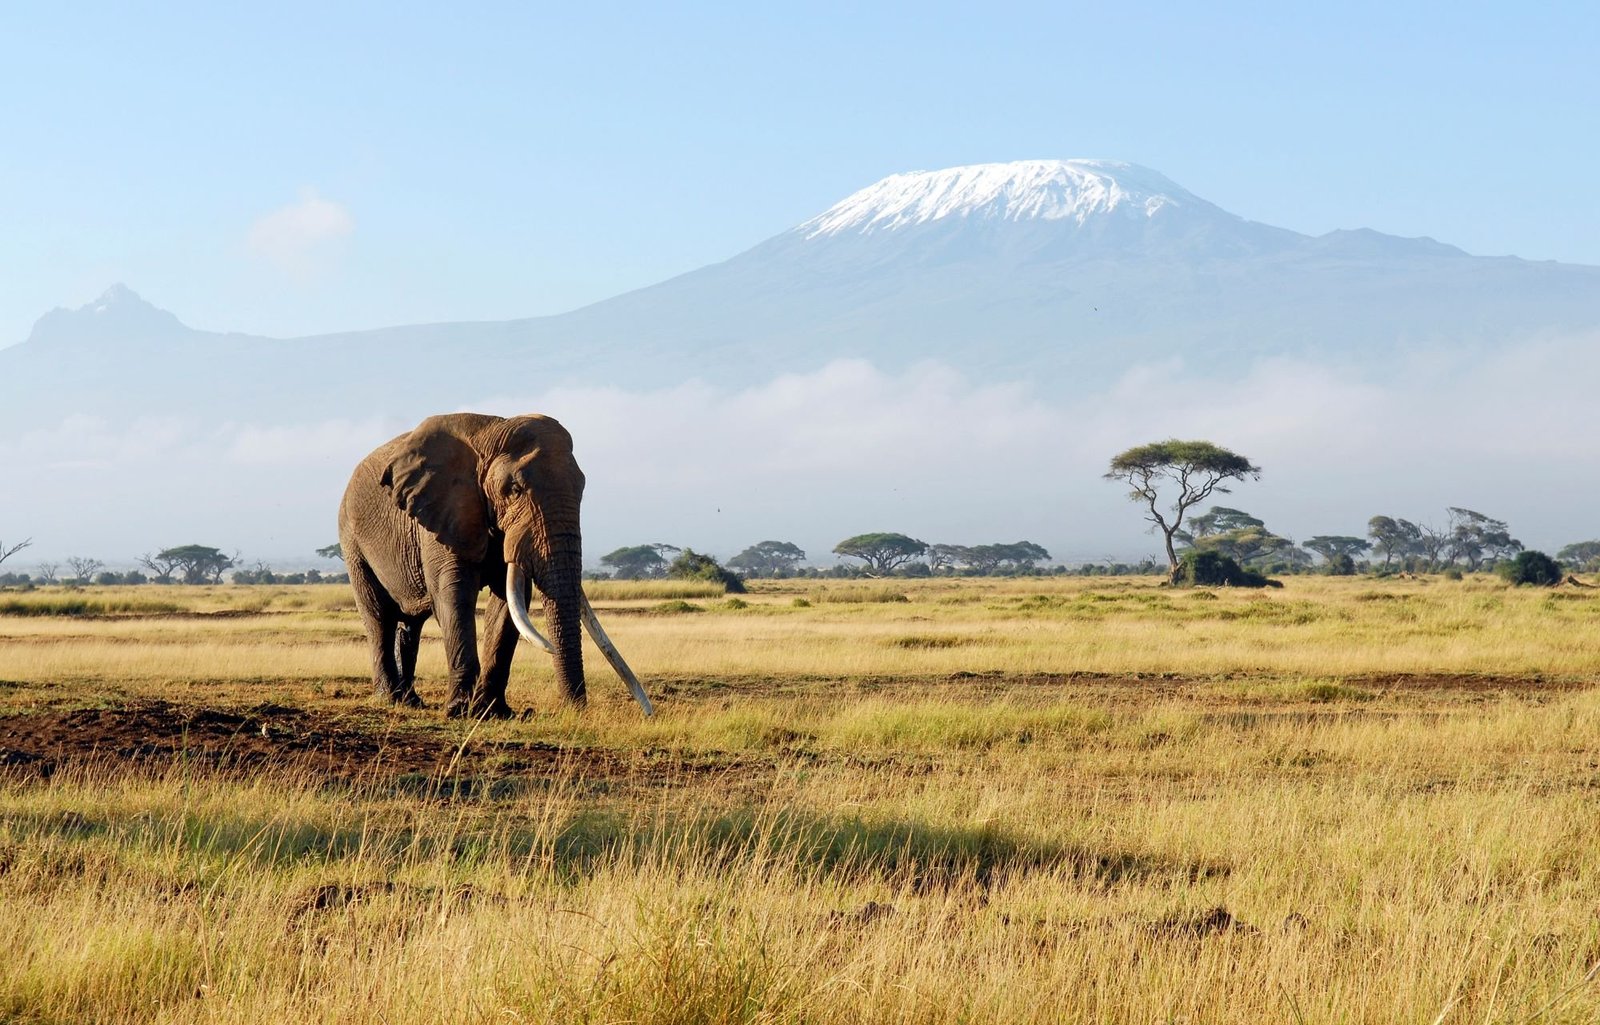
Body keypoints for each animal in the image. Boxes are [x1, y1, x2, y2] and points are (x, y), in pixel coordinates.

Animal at [338, 412, 653, 718]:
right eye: (514, 489)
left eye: (582, 488)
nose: (574, 710)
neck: (489, 434)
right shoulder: (445, 512)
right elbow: (454, 594)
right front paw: (460, 711)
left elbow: (509, 603)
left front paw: (493, 712)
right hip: (351, 540)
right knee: (379, 617)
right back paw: (389, 699)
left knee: (410, 625)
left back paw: (411, 701)